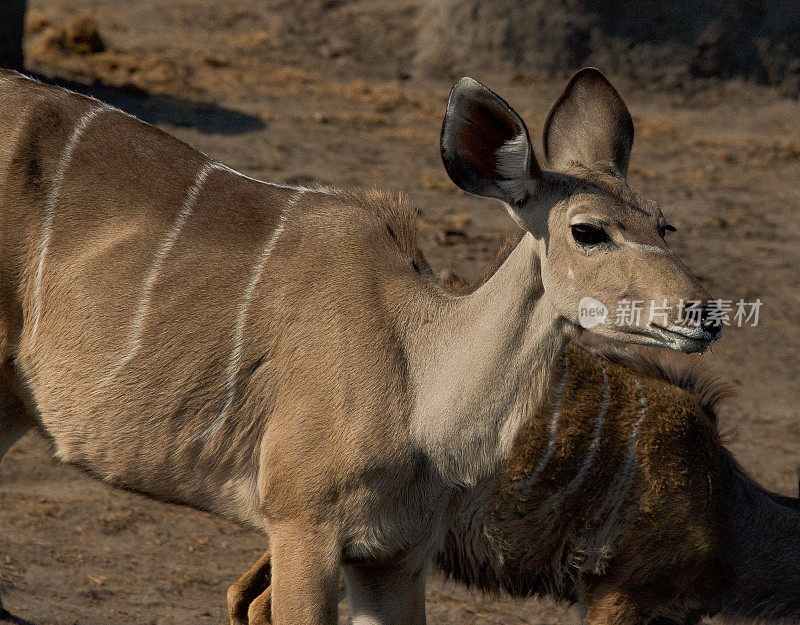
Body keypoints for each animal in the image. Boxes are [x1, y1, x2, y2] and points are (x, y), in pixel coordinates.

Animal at [1, 68, 720, 624]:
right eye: (588, 230)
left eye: (664, 224)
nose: (704, 313)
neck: (418, 380)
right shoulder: (302, 525)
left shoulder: (394, 556)